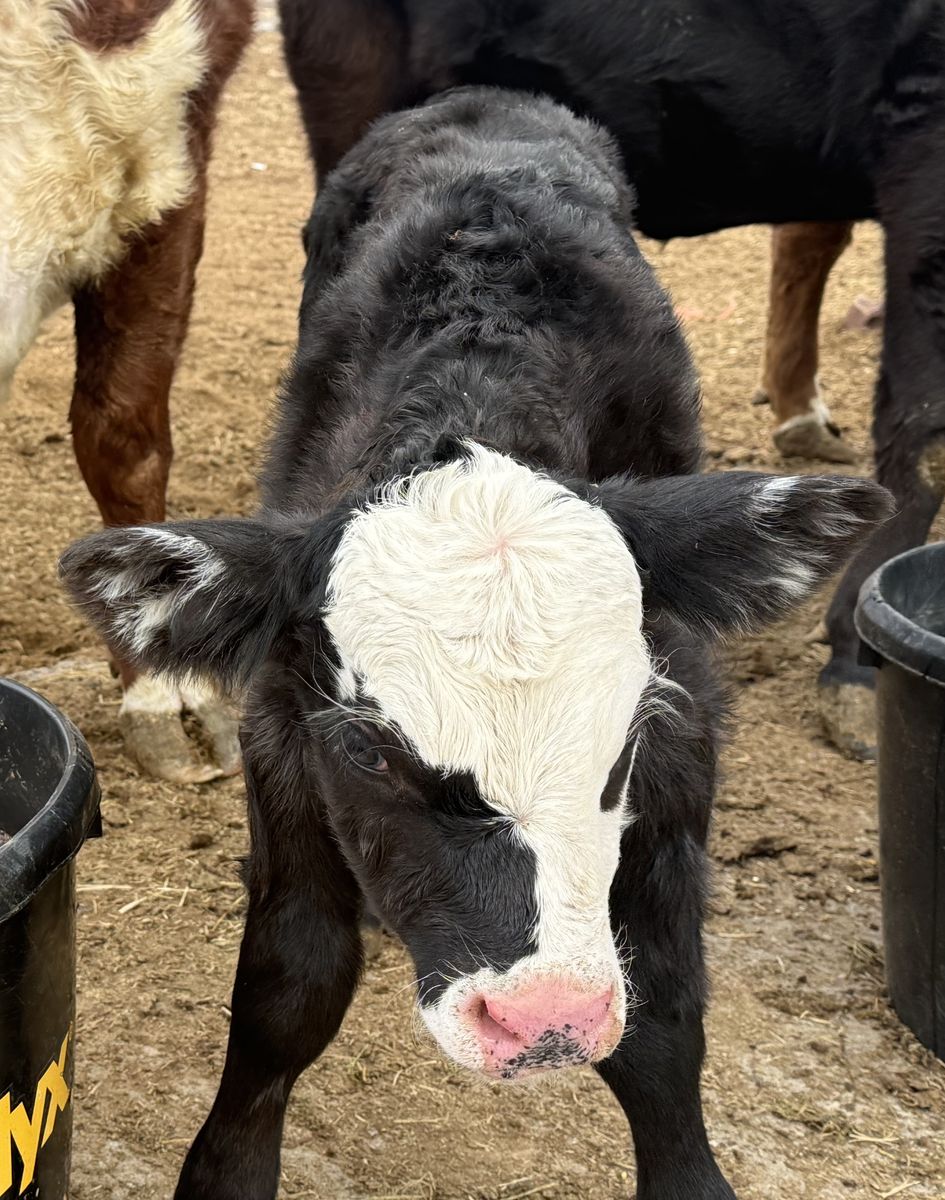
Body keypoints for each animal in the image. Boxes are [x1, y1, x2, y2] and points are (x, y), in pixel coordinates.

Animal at [60, 89, 889, 1199]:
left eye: (624, 731)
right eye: (364, 750)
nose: (543, 1020)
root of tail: (487, 104)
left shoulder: (683, 747)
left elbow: (664, 1016)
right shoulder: (282, 746)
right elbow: (287, 989)